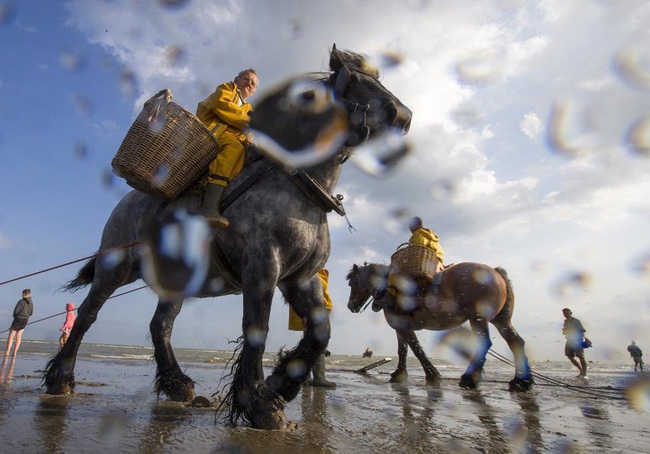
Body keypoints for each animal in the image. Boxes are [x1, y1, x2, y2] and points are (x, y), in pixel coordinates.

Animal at [44, 46, 410, 430]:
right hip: (114, 269)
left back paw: (176, 383)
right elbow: (256, 328)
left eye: (378, 77)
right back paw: (61, 377)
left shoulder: (301, 279)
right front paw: (258, 401)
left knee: (160, 325)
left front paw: (281, 383)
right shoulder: (262, 268)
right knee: (87, 315)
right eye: (356, 80)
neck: (296, 184)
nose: (404, 115)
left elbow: (319, 332)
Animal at [346, 260, 536, 392]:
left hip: (478, 318)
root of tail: (495, 271)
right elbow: (403, 351)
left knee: (485, 343)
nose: (350, 306)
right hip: (501, 321)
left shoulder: (404, 328)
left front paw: (432, 374)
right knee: (516, 342)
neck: (388, 288)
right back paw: (521, 382)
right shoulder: (400, 328)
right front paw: (399, 374)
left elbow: (416, 349)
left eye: (351, 283)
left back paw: (469, 378)